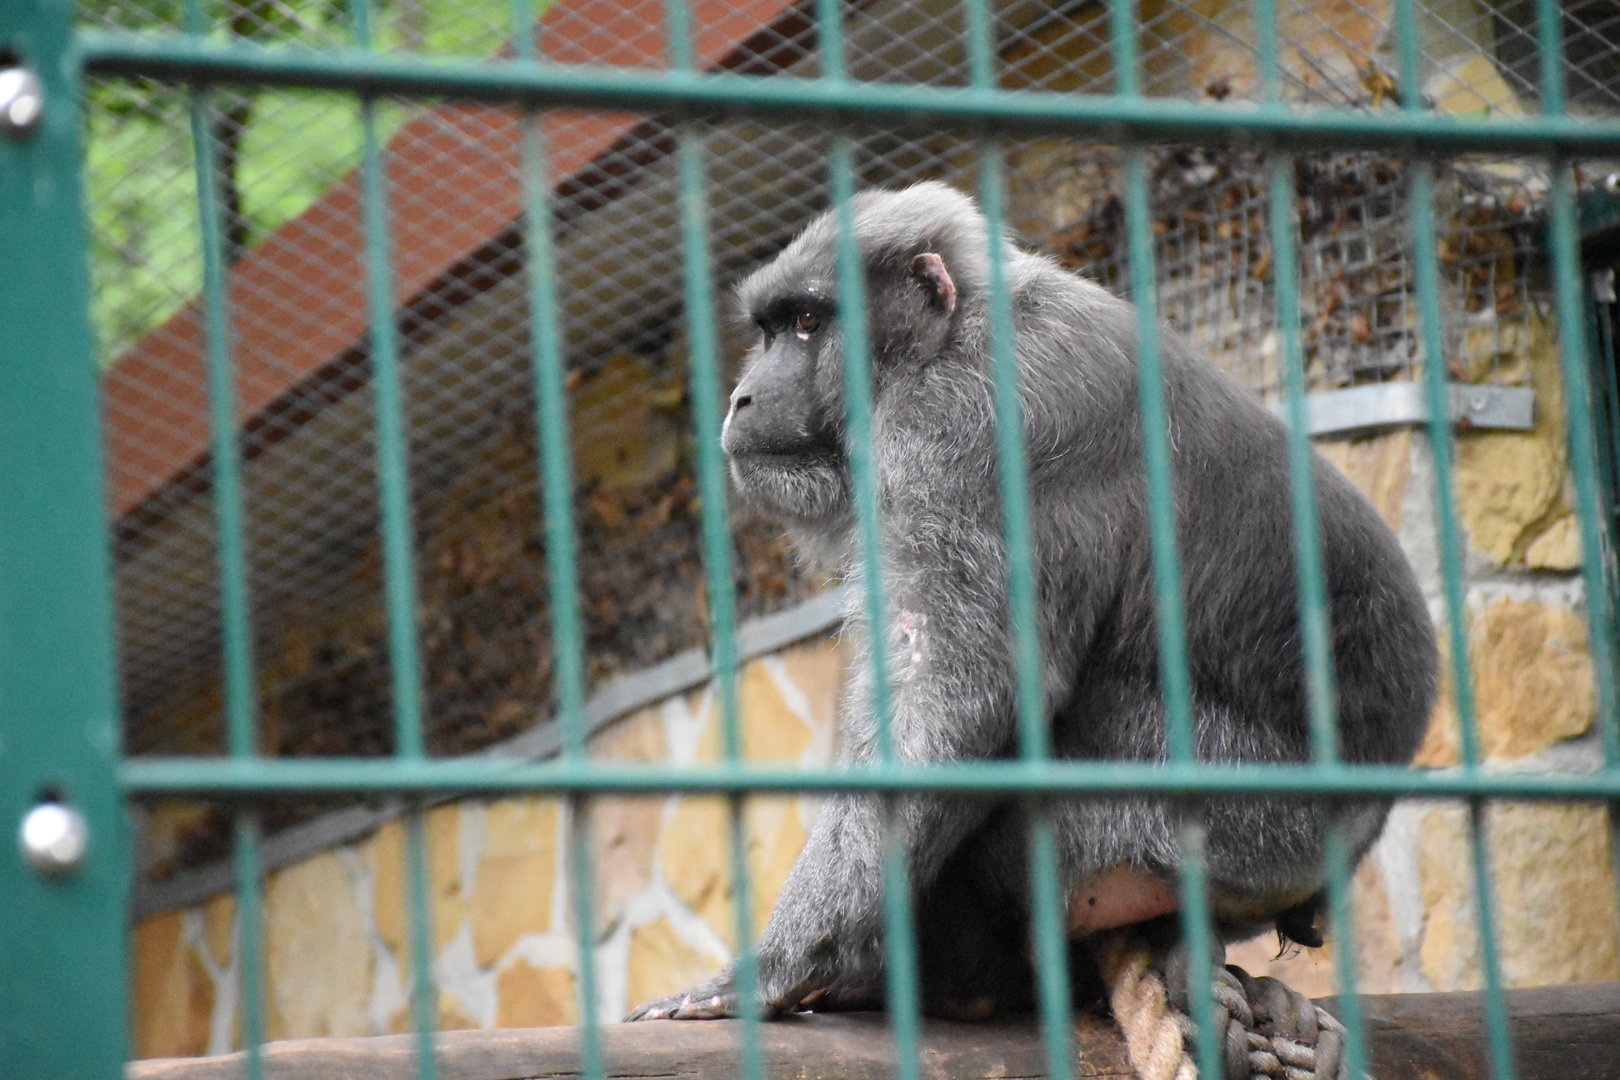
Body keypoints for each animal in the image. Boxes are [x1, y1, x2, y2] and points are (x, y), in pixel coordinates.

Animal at [625, 181, 1437, 1022]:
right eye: (771, 328)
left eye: (809, 323)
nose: (745, 397)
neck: (950, 337)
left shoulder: (958, 435)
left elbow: (955, 698)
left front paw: (787, 962)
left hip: (1207, 829)